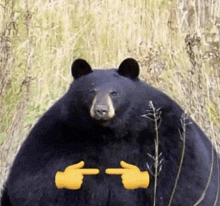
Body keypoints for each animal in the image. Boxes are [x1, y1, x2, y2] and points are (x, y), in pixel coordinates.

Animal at [0, 58, 219, 206]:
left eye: (114, 92)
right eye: (91, 91)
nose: (101, 110)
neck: (109, 133)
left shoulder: (166, 132)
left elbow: (184, 179)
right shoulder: (57, 133)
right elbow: (36, 182)